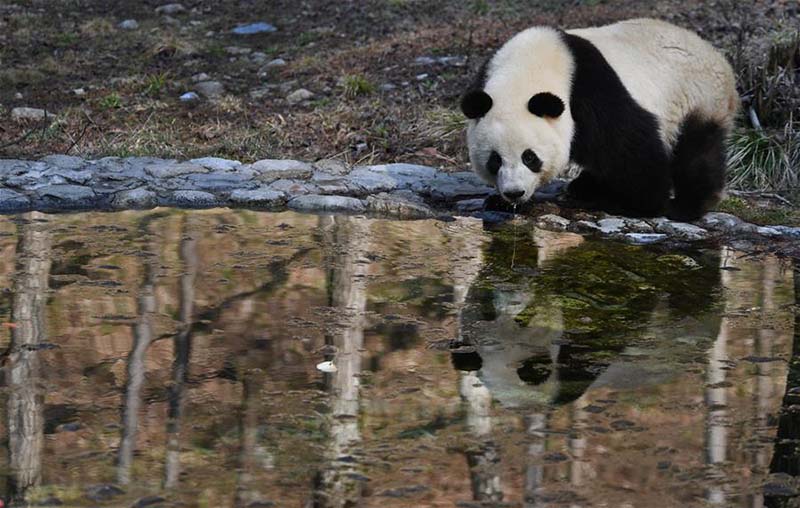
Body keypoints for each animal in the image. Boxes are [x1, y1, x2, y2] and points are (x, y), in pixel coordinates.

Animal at [460, 18, 740, 220]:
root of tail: (721, 61)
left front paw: (644, 204)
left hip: (698, 98)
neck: (526, 71)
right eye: (495, 160)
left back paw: (686, 206)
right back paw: (584, 186)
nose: (514, 192)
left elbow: (630, 146)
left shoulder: (591, 91)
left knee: (697, 153)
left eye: (530, 157)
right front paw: (498, 201)